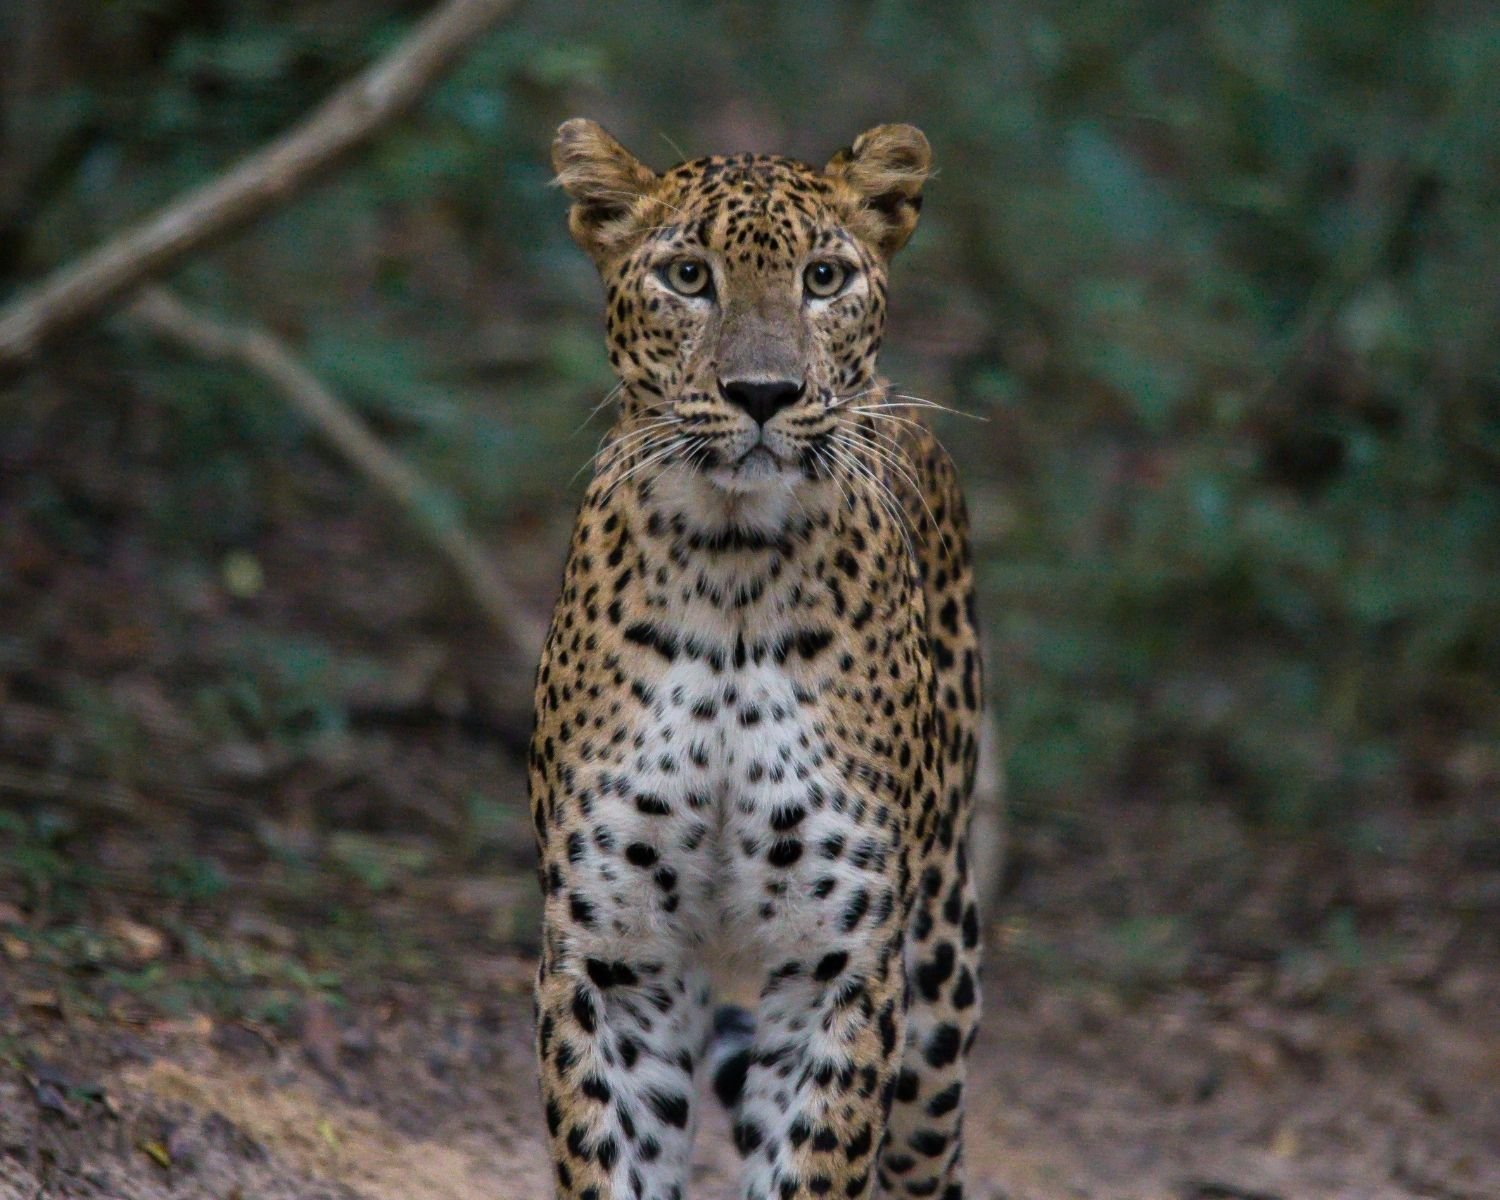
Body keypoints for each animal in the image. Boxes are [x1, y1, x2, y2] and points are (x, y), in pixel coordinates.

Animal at [529, 117, 996, 1200]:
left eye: (823, 278)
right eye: (689, 276)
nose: (764, 394)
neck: (731, 571)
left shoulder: (838, 962)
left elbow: (813, 1163)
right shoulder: (611, 956)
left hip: (938, 991)